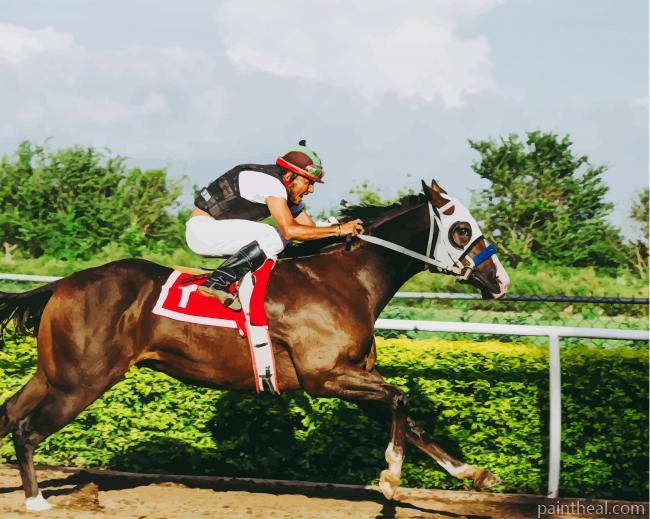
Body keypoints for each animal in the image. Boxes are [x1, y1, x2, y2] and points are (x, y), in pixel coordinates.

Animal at [0, 179, 509, 511]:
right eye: (461, 229)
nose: (500, 280)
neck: (342, 279)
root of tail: (63, 284)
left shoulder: (355, 377)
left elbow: (410, 417)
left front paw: (475, 474)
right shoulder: (326, 377)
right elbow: (402, 400)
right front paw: (390, 477)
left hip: (53, 373)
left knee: (9, 412)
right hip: (82, 380)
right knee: (27, 429)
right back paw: (36, 500)